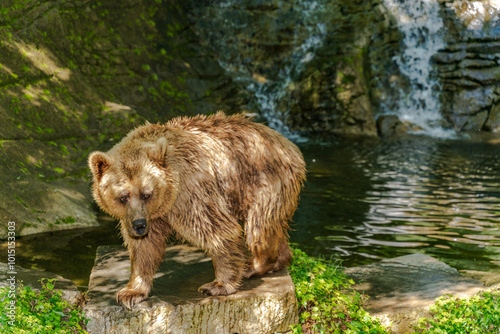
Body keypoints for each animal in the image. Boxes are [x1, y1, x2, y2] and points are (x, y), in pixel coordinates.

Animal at [88, 111, 306, 308]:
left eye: (146, 194)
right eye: (123, 196)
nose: (139, 225)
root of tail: (290, 145)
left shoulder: (190, 191)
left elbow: (217, 230)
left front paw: (217, 285)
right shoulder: (151, 217)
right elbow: (144, 248)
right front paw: (131, 292)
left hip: (264, 179)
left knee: (260, 225)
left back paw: (254, 264)